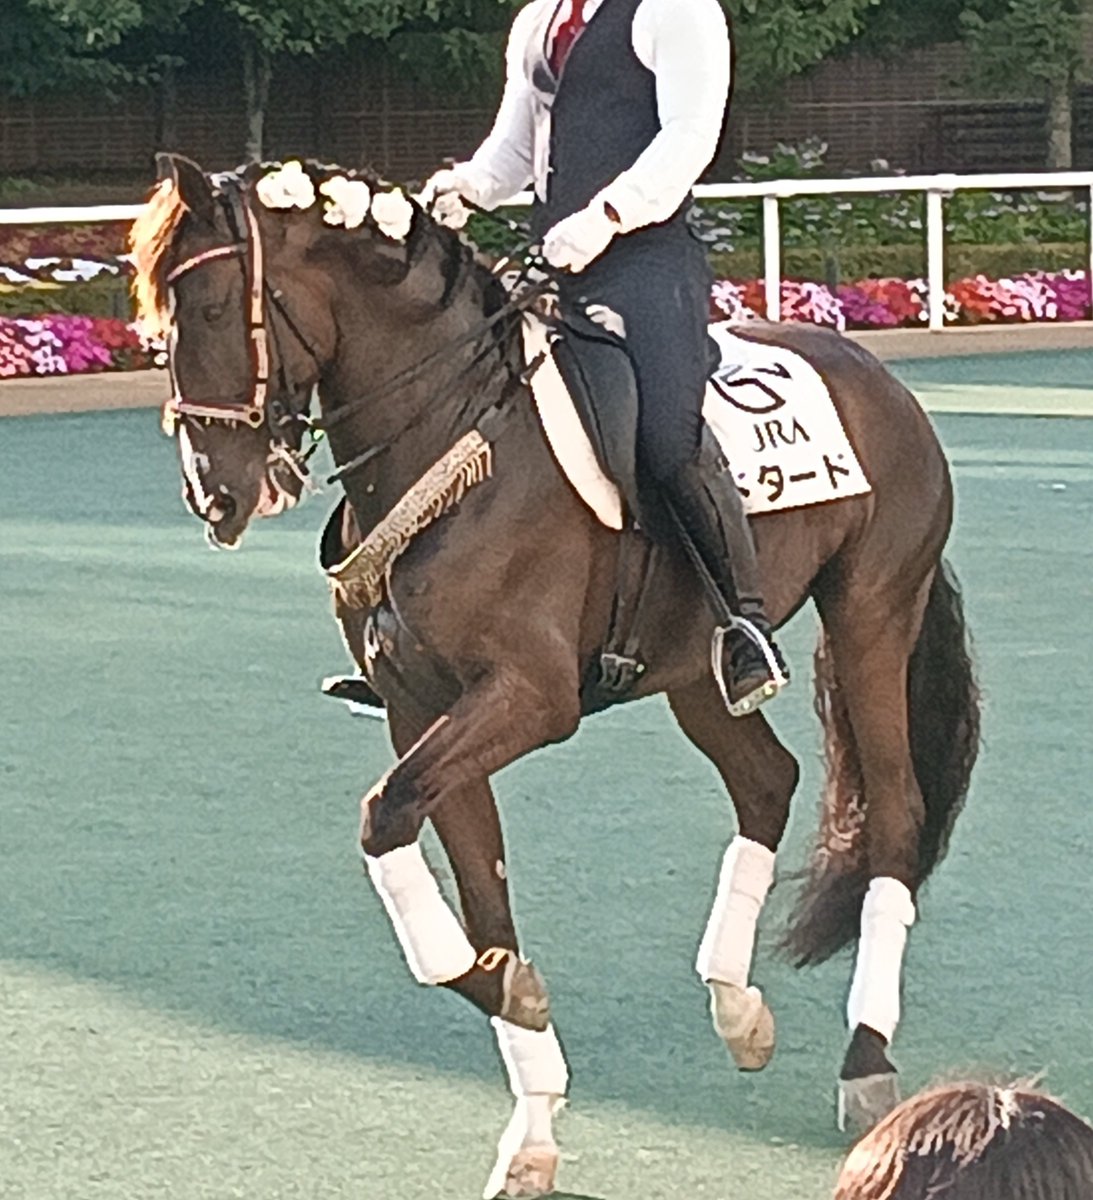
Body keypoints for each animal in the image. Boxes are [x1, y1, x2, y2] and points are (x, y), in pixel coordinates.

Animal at [131, 154, 980, 1198]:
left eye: (210, 306)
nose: (215, 493)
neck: (457, 439)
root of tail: (874, 374)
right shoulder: (420, 710)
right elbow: (468, 885)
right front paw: (528, 1095)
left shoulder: (528, 699)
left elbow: (384, 818)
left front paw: (514, 1000)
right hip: (692, 663)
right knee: (766, 781)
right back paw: (737, 1007)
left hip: (871, 616)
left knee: (893, 816)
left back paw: (865, 1062)